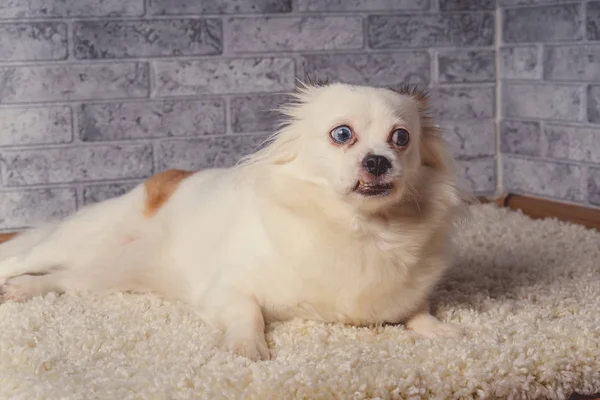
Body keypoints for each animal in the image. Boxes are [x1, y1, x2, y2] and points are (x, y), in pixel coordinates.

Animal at [0, 81, 468, 360]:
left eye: (401, 138)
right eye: (342, 134)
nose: (378, 161)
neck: (362, 229)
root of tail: (163, 180)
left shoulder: (402, 297)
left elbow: (417, 311)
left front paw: (440, 332)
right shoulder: (227, 289)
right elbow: (249, 312)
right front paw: (247, 348)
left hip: (105, 277)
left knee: (62, 280)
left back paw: (23, 291)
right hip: (73, 240)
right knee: (22, 259)